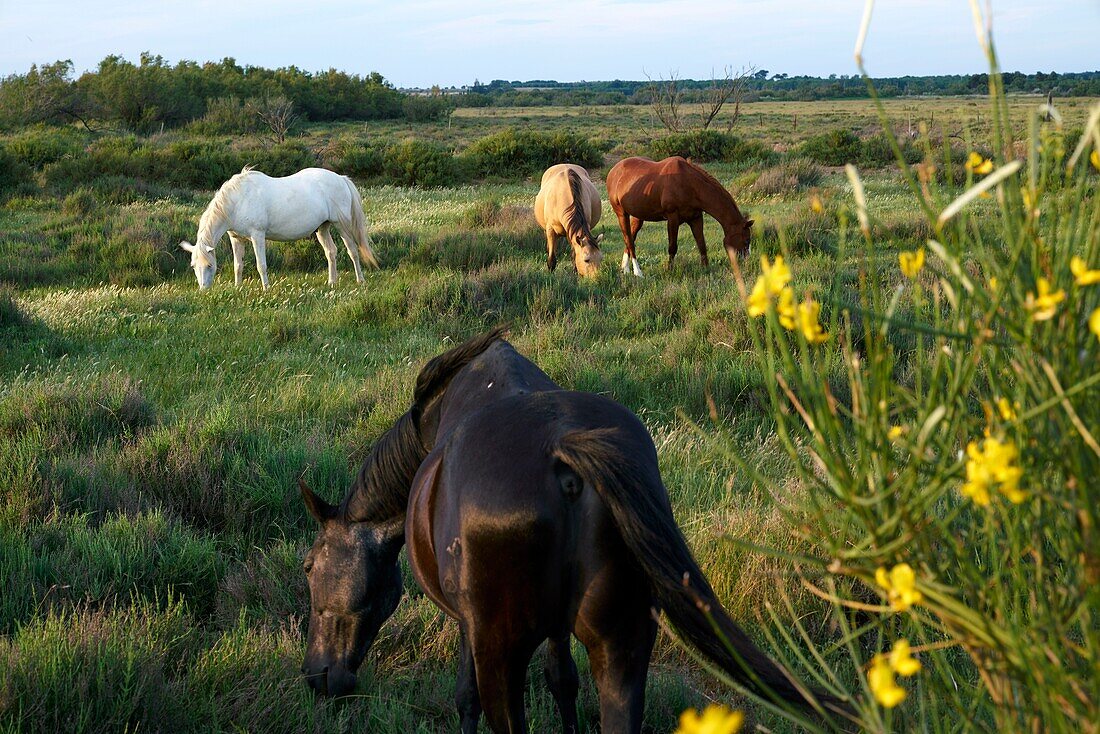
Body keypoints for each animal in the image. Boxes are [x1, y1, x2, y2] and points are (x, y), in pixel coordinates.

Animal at [178, 166, 380, 290]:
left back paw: (360, 280)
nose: (204, 290)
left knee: (352, 250)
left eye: (210, 265)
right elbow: (238, 265)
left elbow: (261, 265)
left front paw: (266, 288)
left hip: (341, 225)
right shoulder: (235, 238)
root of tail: (341, 178)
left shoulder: (257, 236)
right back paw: (332, 282)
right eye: (193, 265)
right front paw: (238, 287)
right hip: (323, 227)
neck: (238, 200)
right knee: (331, 252)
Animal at [297, 330, 836, 730]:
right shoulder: (560, 631)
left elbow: (465, 698)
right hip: (622, 647)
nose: (317, 676)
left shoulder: (467, 626)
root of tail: (563, 449)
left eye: (308, 566)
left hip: (503, 656)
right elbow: (563, 681)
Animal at [607, 156, 752, 277]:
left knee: (630, 238)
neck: (690, 184)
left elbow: (701, 244)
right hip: (621, 214)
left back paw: (625, 269)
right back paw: (638, 272)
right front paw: (669, 270)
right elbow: (672, 246)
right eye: (746, 240)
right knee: (629, 240)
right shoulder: (672, 218)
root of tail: (614, 171)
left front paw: (706, 269)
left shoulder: (696, 218)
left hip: (638, 217)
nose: (746, 263)